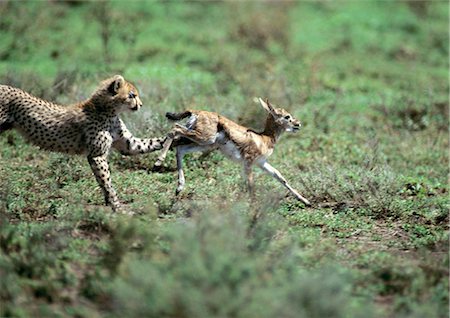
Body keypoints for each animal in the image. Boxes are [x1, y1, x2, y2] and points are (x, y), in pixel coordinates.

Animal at [0, 75, 164, 211]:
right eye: (131, 95)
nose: (141, 105)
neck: (107, 110)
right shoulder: (97, 155)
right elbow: (107, 181)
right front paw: (116, 206)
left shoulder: (127, 144)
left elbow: (145, 144)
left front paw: (170, 138)